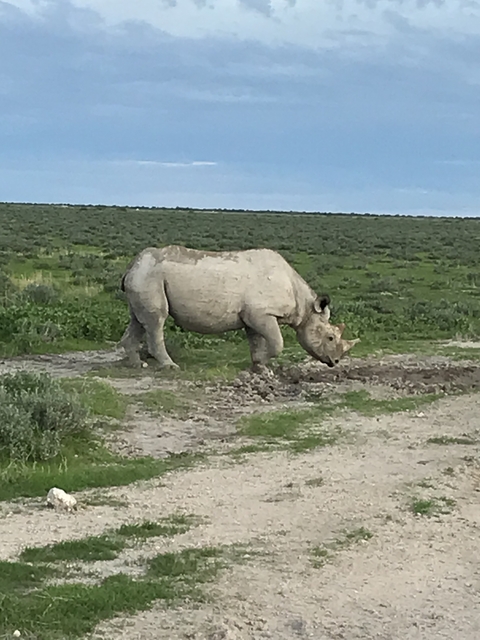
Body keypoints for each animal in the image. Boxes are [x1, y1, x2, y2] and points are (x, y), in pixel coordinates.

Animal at [119, 245, 359, 371]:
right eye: (330, 337)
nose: (335, 362)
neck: (306, 307)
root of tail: (132, 266)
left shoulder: (253, 315)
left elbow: (256, 341)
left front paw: (259, 367)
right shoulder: (261, 312)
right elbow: (277, 343)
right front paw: (262, 363)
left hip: (144, 277)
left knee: (139, 320)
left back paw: (138, 365)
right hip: (150, 276)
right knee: (156, 321)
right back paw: (170, 367)